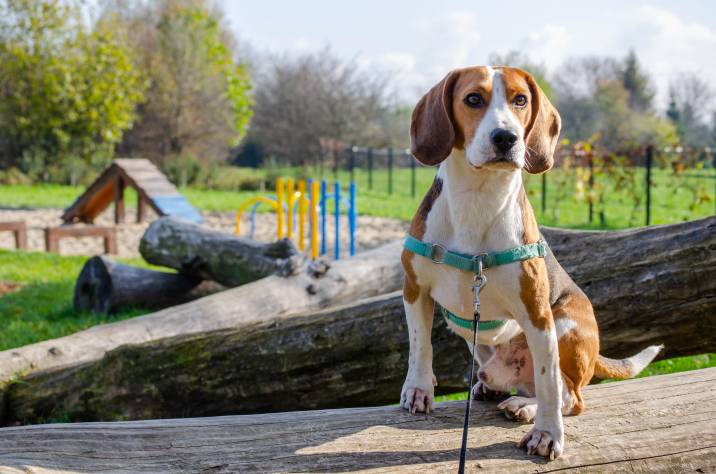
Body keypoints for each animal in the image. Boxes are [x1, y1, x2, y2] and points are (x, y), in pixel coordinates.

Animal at [400, 66, 664, 460]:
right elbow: (421, 345)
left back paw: (525, 407)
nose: (506, 137)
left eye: (520, 100)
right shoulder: (415, 288)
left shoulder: (539, 316)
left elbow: (549, 382)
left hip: (565, 323)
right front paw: (418, 389)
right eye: (473, 99)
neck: (478, 198)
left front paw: (548, 435)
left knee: (568, 394)